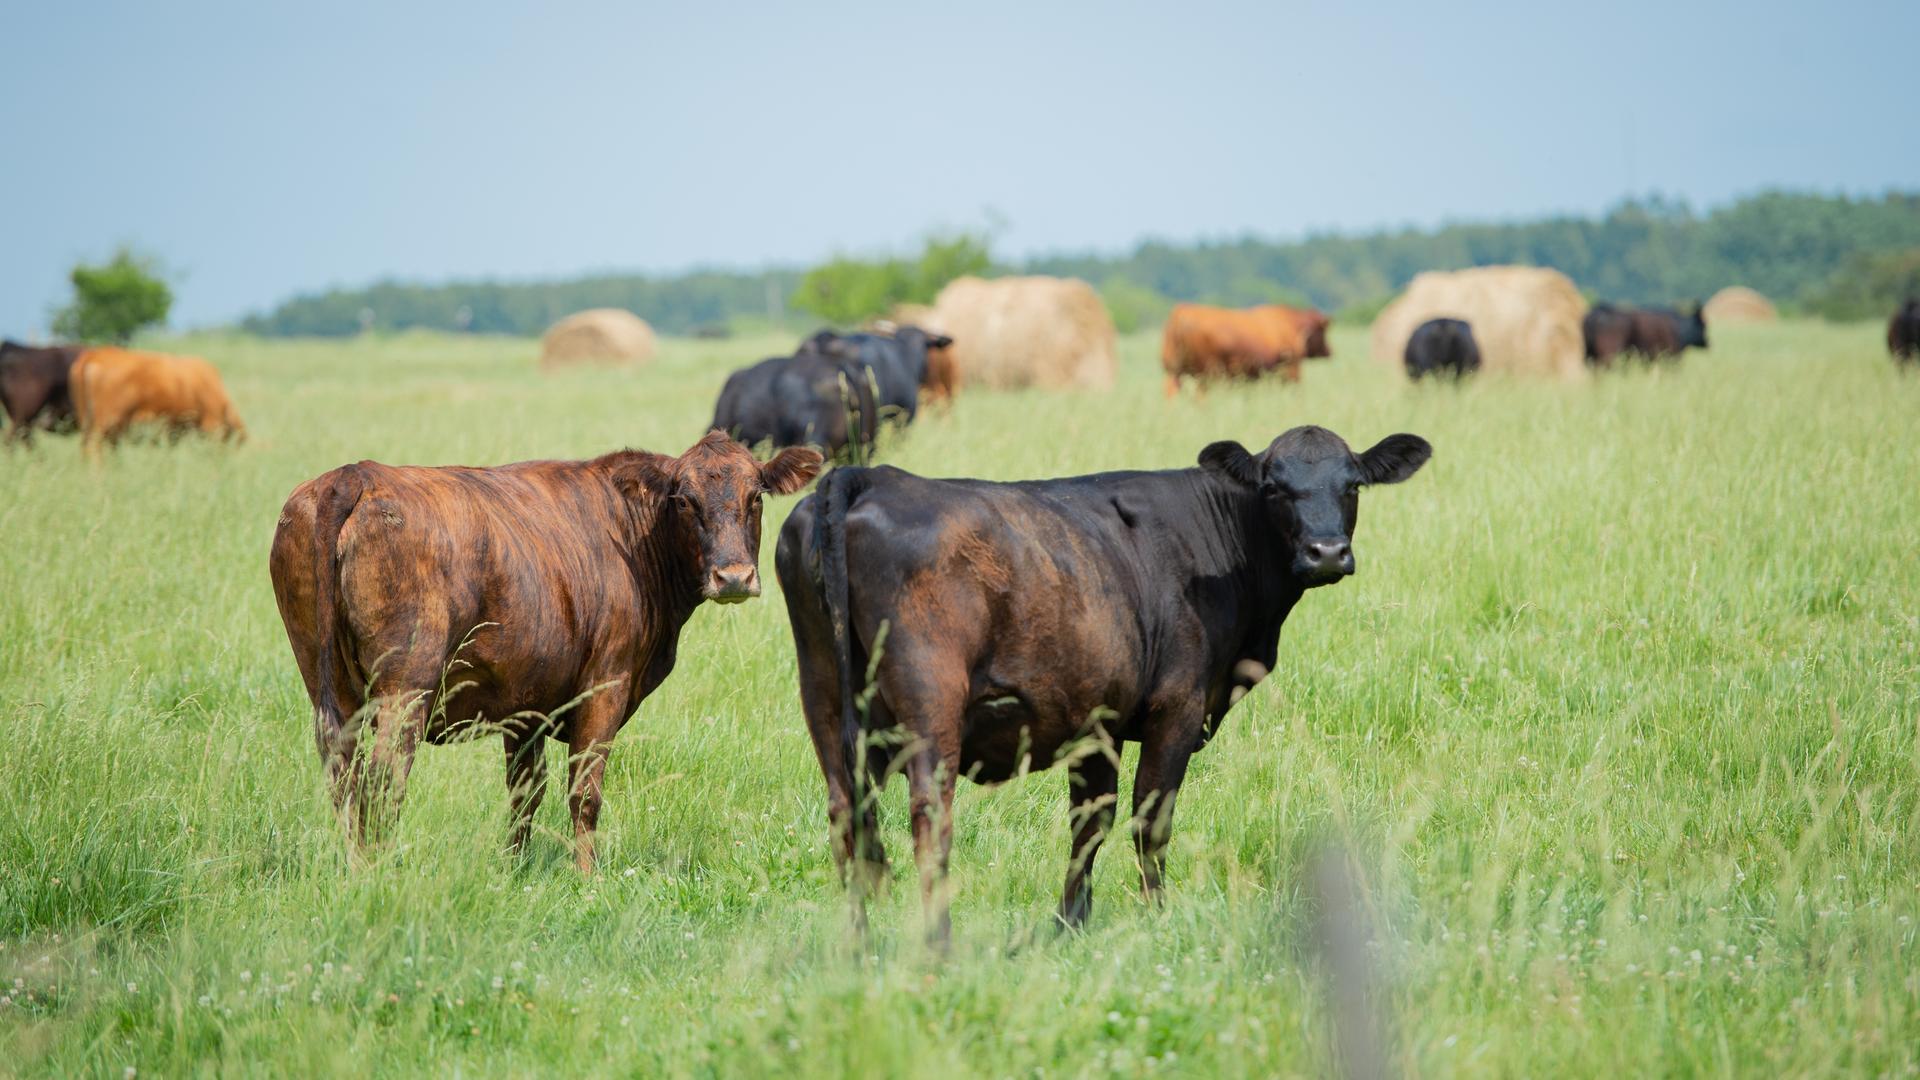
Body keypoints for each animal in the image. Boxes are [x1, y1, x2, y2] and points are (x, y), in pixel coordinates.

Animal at [70, 343, 245, 453]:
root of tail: (94, 355)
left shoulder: (173, 427)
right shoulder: (211, 422)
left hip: (89, 421)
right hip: (105, 421)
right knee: (94, 446)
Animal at [266, 428, 821, 864]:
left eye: (756, 497)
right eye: (683, 500)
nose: (733, 577)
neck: (631, 536)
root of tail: (354, 475)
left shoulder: (524, 707)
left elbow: (525, 795)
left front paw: (514, 870)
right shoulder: (605, 686)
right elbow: (584, 795)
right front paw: (587, 878)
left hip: (332, 687)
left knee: (343, 773)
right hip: (406, 687)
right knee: (383, 780)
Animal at [771, 420, 1436, 941]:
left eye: (1353, 485)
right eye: (1274, 488)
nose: (1327, 552)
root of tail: (870, 476)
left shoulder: (1096, 722)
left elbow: (1091, 823)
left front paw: (1070, 923)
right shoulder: (1176, 710)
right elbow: (1150, 822)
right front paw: (1157, 917)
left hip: (822, 695)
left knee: (846, 817)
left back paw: (858, 945)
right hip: (930, 706)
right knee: (930, 822)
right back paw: (938, 945)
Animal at [1152, 299, 1336, 393]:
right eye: (1323, 330)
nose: (1329, 351)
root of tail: (1183, 311)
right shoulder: (1291, 369)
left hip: (1173, 373)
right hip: (1206, 374)